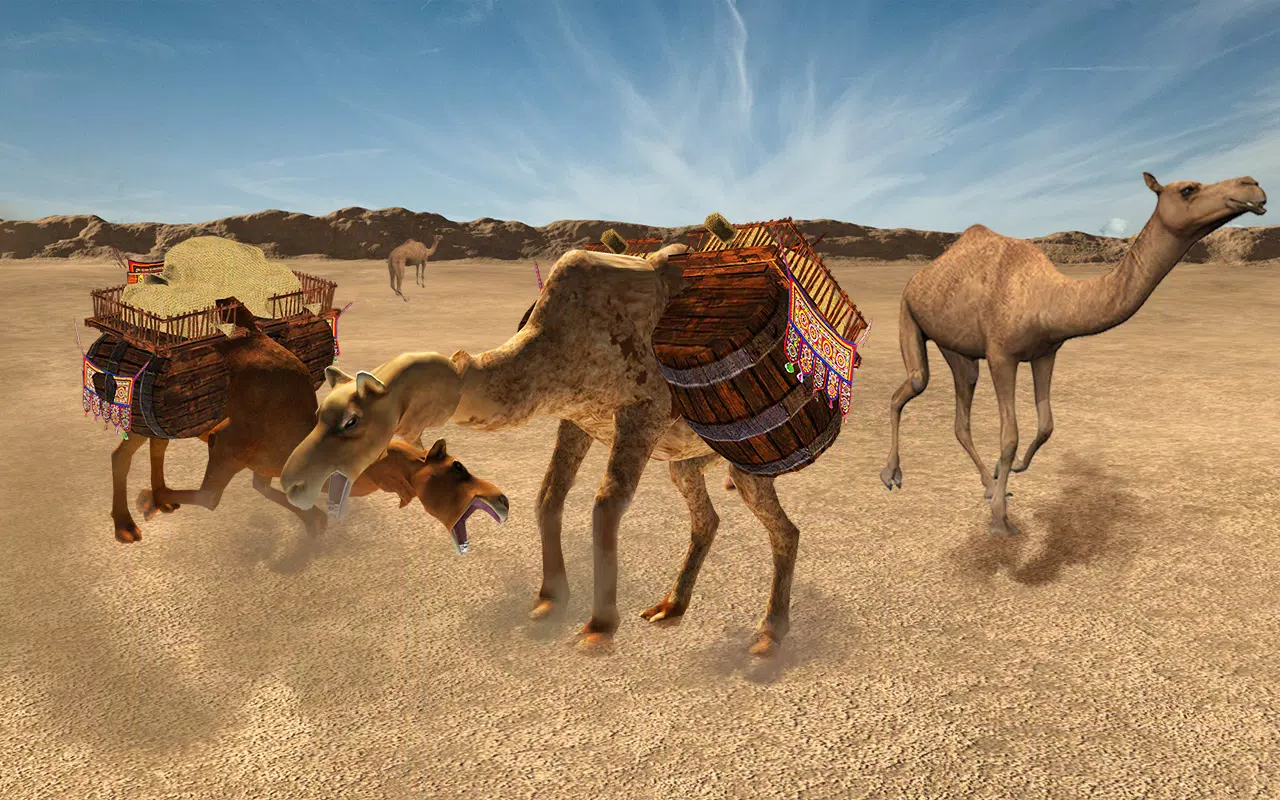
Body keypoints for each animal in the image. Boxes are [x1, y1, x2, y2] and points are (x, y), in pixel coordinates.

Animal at [109, 307, 508, 549]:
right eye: (457, 467)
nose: (502, 499)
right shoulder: (227, 447)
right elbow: (210, 498)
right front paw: (149, 499)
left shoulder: (262, 464)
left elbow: (264, 489)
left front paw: (313, 521)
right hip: (142, 418)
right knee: (122, 454)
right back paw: (127, 525)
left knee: (157, 445)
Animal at [281, 244, 804, 657]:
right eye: (319, 412)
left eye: (352, 421)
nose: (291, 482)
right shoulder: (577, 419)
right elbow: (549, 497)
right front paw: (550, 600)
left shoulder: (643, 413)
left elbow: (605, 507)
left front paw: (598, 628)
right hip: (692, 462)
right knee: (707, 516)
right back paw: (671, 607)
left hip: (749, 460)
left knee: (785, 530)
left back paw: (768, 636)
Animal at [881, 172, 1266, 534]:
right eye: (1188, 189)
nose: (1253, 185)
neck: (1050, 298)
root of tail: (920, 276)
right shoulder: (1001, 354)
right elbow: (1009, 436)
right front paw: (1001, 520)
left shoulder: (1045, 352)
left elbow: (1046, 425)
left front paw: (1010, 471)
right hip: (908, 310)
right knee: (914, 384)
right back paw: (891, 474)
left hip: (957, 348)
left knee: (961, 415)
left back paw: (988, 485)